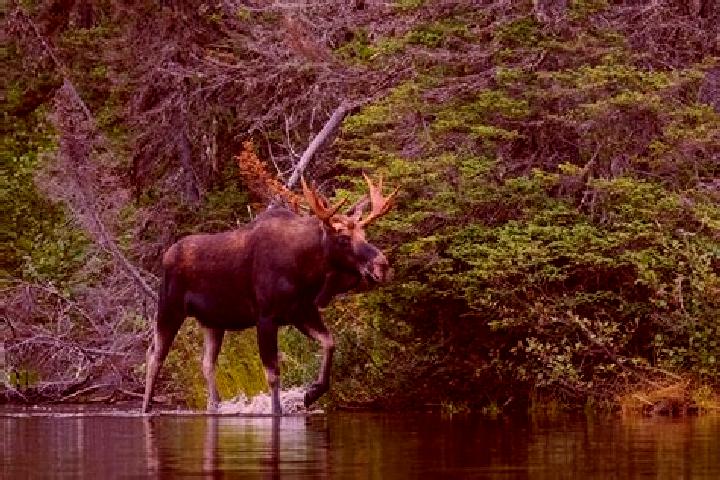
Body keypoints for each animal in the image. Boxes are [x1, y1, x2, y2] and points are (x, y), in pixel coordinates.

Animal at [142, 174, 397, 414]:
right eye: (343, 238)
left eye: (365, 234)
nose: (382, 265)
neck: (306, 271)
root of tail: (166, 255)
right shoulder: (265, 317)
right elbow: (273, 373)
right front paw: (279, 409)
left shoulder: (302, 312)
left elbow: (329, 342)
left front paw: (311, 393)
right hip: (169, 307)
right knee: (155, 356)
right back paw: (146, 407)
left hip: (213, 322)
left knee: (206, 363)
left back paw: (215, 405)